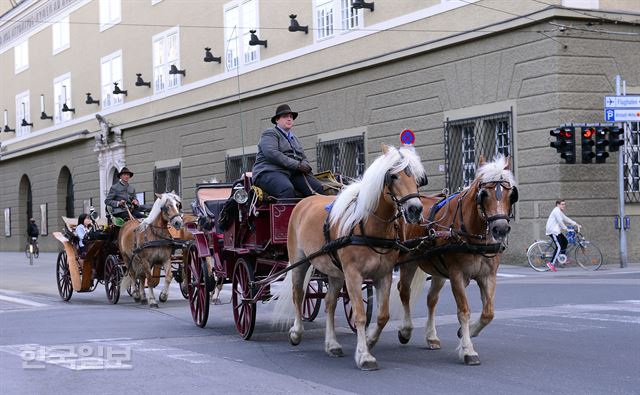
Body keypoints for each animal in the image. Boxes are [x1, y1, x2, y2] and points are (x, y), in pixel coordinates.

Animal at [272, 145, 428, 372]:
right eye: (393, 176)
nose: (415, 209)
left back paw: (332, 344)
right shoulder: (353, 275)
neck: (368, 226)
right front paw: (364, 356)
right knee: (298, 295)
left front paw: (370, 341)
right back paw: (296, 332)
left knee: (329, 303)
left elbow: (382, 316)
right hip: (300, 263)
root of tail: (304, 201)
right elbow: (360, 315)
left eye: (417, 178)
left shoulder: (383, 275)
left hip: (335, 272)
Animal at [392, 155, 516, 366]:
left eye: (511, 194)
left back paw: (431, 336)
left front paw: (468, 332)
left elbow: (488, 312)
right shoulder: (457, 275)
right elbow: (463, 311)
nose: (500, 229)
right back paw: (406, 330)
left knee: (431, 299)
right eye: (484, 194)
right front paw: (467, 349)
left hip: (438, 271)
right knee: (404, 292)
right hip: (409, 261)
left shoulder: (488, 276)